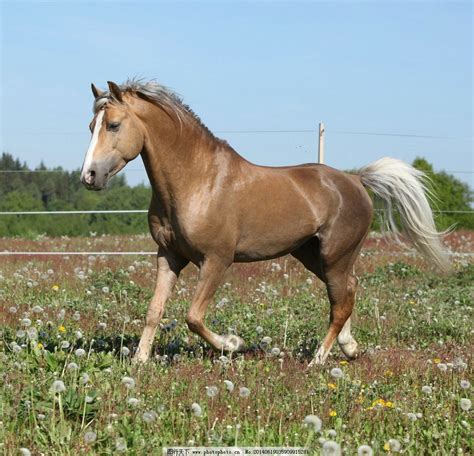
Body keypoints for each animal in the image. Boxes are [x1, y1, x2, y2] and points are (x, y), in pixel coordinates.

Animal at [79, 80, 450, 366]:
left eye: (113, 125)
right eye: (91, 127)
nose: (89, 176)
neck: (197, 180)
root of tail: (356, 180)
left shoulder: (217, 260)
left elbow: (193, 317)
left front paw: (233, 344)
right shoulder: (169, 255)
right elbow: (154, 310)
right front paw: (140, 362)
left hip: (335, 256)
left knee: (340, 302)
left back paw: (318, 359)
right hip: (312, 256)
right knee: (347, 292)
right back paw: (350, 348)